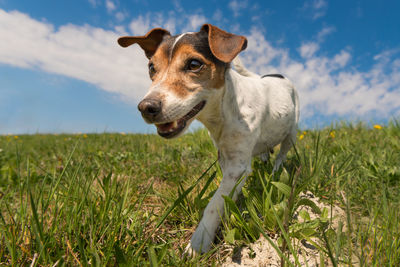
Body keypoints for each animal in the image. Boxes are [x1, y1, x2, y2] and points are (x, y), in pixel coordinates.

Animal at [117, 24, 298, 254]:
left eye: (194, 64)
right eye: (151, 67)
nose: (146, 108)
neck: (224, 111)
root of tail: (278, 75)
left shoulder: (237, 166)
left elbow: (215, 203)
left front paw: (199, 240)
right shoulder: (225, 157)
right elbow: (226, 196)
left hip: (292, 132)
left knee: (281, 155)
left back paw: (275, 171)